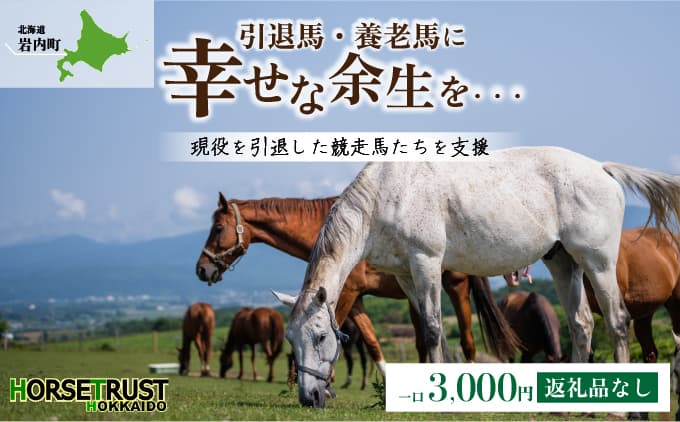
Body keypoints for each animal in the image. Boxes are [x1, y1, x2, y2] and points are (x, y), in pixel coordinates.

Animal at [195, 195, 520, 374]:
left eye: (218, 228)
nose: (201, 268)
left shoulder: (347, 294)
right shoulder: (355, 298)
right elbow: (373, 343)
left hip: (456, 288)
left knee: (467, 341)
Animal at [280, 147, 680, 407]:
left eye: (320, 337)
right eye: (291, 339)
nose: (309, 397)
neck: (386, 196)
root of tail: (601, 168)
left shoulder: (426, 263)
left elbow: (432, 329)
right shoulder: (407, 275)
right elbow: (432, 333)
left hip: (597, 263)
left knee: (618, 322)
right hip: (564, 262)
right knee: (582, 324)